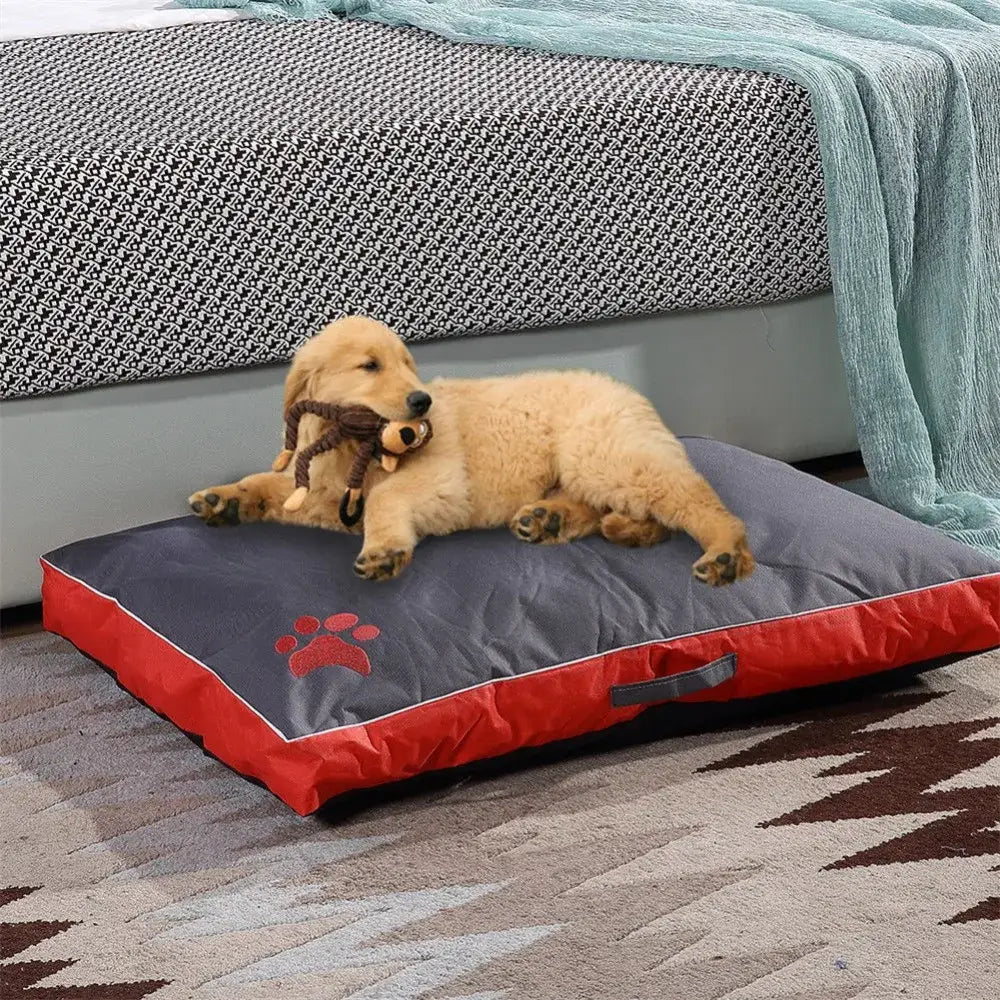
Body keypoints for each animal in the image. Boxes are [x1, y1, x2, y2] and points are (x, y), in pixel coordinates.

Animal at [188, 318, 752, 584]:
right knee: (610, 508)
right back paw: (548, 519)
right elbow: (274, 485)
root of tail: (632, 393)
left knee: (700, 503)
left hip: (605, 455)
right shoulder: (329, 496)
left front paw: (384, 552)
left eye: (407, 364)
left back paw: (726, 556)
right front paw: (226, 498)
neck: (354, 447)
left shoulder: (440, 482)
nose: (423, 401)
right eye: (370, 366)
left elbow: (387, 500)